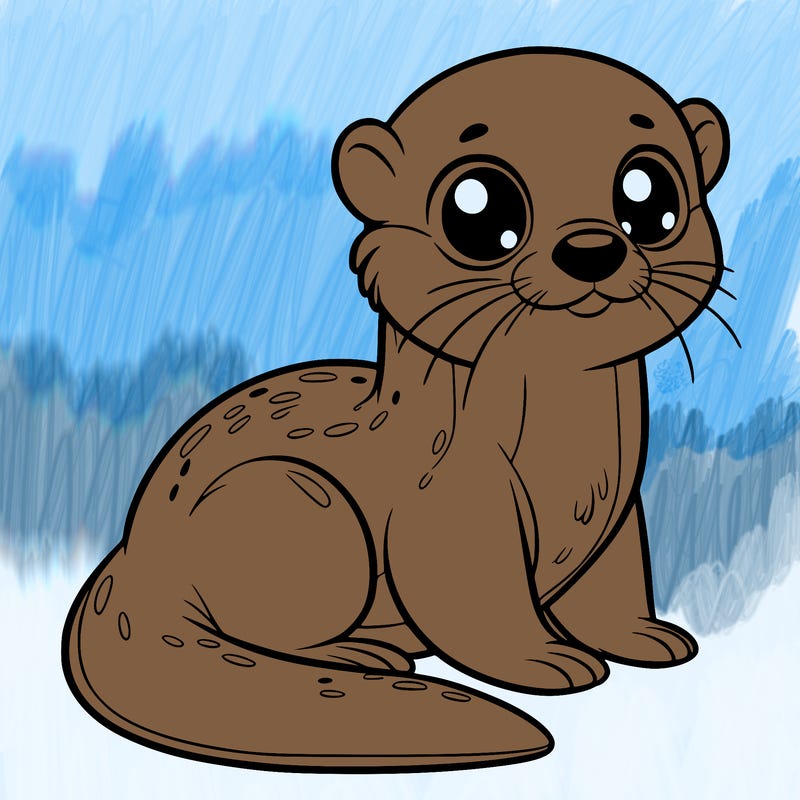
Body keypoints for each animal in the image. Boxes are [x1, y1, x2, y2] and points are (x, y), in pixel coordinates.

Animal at [62, 48, 730, 772]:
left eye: (650, 195)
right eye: (478, 208)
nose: (591, 250)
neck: (575, 466)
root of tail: (134, 555)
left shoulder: (619, 511)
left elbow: (613, 586)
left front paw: (643, 636)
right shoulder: (453, 505)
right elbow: (476, 605)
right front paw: (547, 660)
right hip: (296, 504)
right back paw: (362, 653)